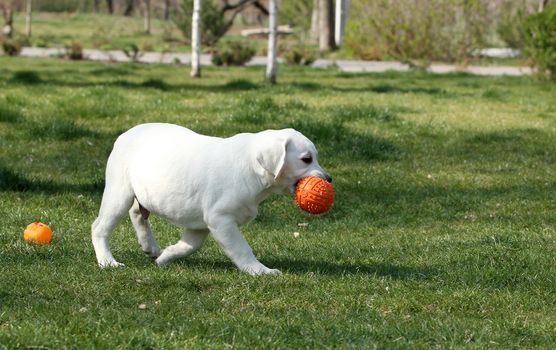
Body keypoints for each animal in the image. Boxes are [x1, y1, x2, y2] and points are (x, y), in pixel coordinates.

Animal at [91, 124, 330, 274]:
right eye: (306, 159)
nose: (329, 179)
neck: (251, 167)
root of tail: (125, 135)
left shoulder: (201, 224)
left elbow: (189, 246)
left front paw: (165, 257)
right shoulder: (220, 219)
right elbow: (242, 249)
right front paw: (260, 271)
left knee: (137, 213)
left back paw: (150, 247)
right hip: (118, 192)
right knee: (99, 227)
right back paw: (107, 262)